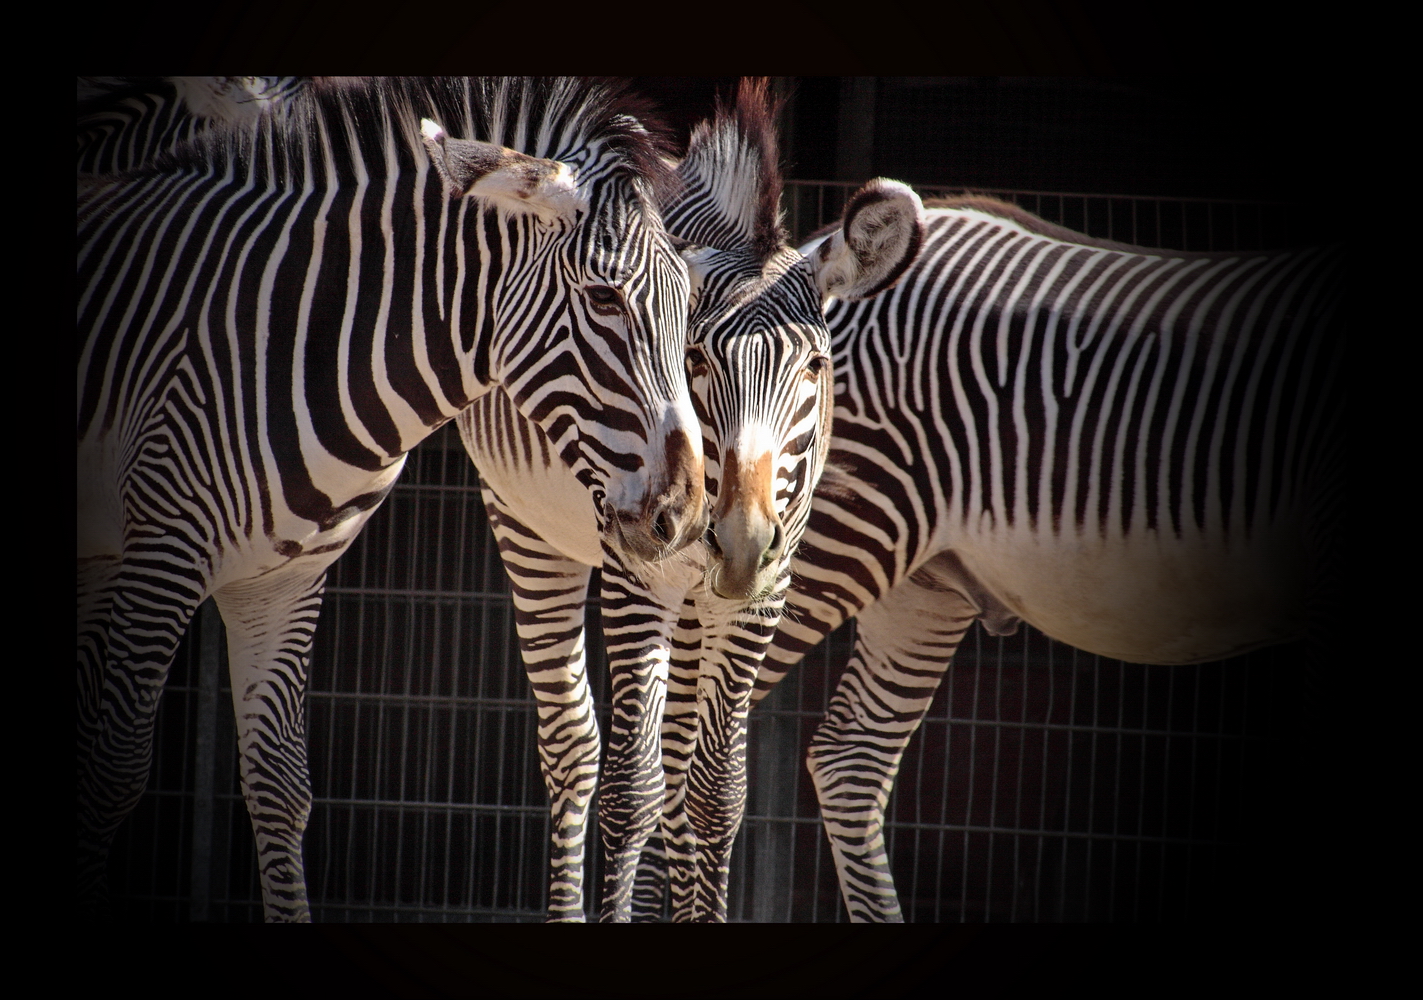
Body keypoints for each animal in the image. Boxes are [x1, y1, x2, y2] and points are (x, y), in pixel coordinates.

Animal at [77, 78, 705, 921]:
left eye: (689, 300)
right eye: (605, 299)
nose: (684, 512)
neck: (289, 339)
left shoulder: (282, 579)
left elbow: (280, 787)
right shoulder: (163, 556)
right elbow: (111, 777)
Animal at [455, 80, 922, 921]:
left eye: (814, 366)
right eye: (696, 358)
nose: (737, 541)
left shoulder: (766, 591)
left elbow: (715, 794)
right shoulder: (638, 577)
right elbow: (633, 790)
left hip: (702, 602)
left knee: (679, 771)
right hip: (532, 532)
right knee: (575, 753)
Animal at [637, 192, 1343, 921]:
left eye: (813, 367)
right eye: (695, 359)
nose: (743, 541)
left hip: (917, 585)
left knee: (846, 759)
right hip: (833, 543)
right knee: (689, 756)